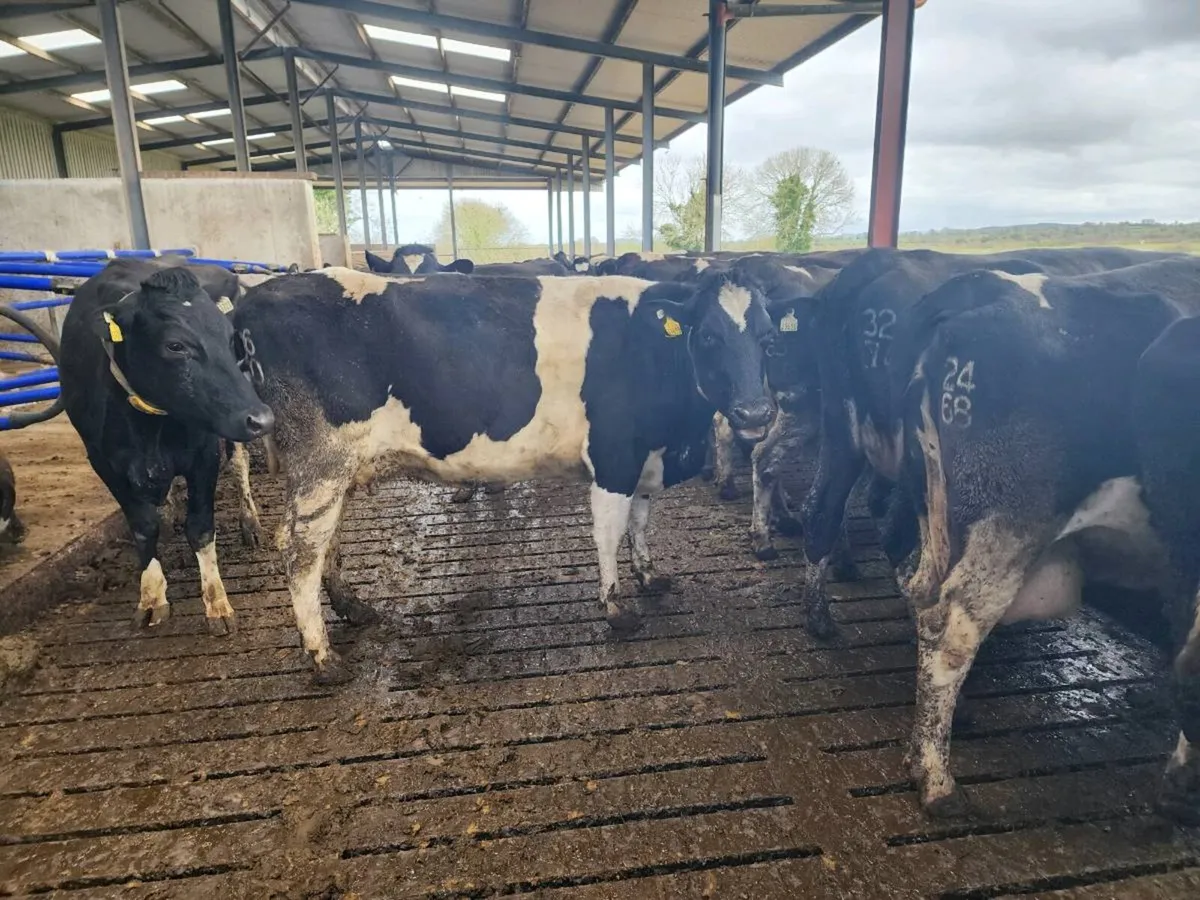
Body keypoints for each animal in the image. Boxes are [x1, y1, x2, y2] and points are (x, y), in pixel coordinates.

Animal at [59, 261, 274, 632]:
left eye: (230, 339)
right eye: (175, 345)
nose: (261, 418)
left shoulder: (204, 454)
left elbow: (200, 527)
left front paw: (217, 604)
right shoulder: (103, 462)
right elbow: (143, 527)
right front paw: (151, 597)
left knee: (239, 463)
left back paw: (250, 523)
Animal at [232, 266, 777, 683]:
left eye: (768, 337)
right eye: (709, 336)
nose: (755, 413)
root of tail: (253, 299)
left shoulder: (647, 455)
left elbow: (641, 523)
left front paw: (649, 575)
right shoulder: (615, 455)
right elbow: (609, 532)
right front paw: (616, 609)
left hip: (338, 469)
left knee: (326, 542)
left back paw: (354, 609)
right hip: (321, 463)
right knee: (300, 550)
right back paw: (323, 657)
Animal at [895, 257, 1200, 820]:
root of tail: (974, 290)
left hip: (937, 518)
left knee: (920, 592)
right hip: (1012, 521)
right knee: (953, 626)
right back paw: (936, 779)